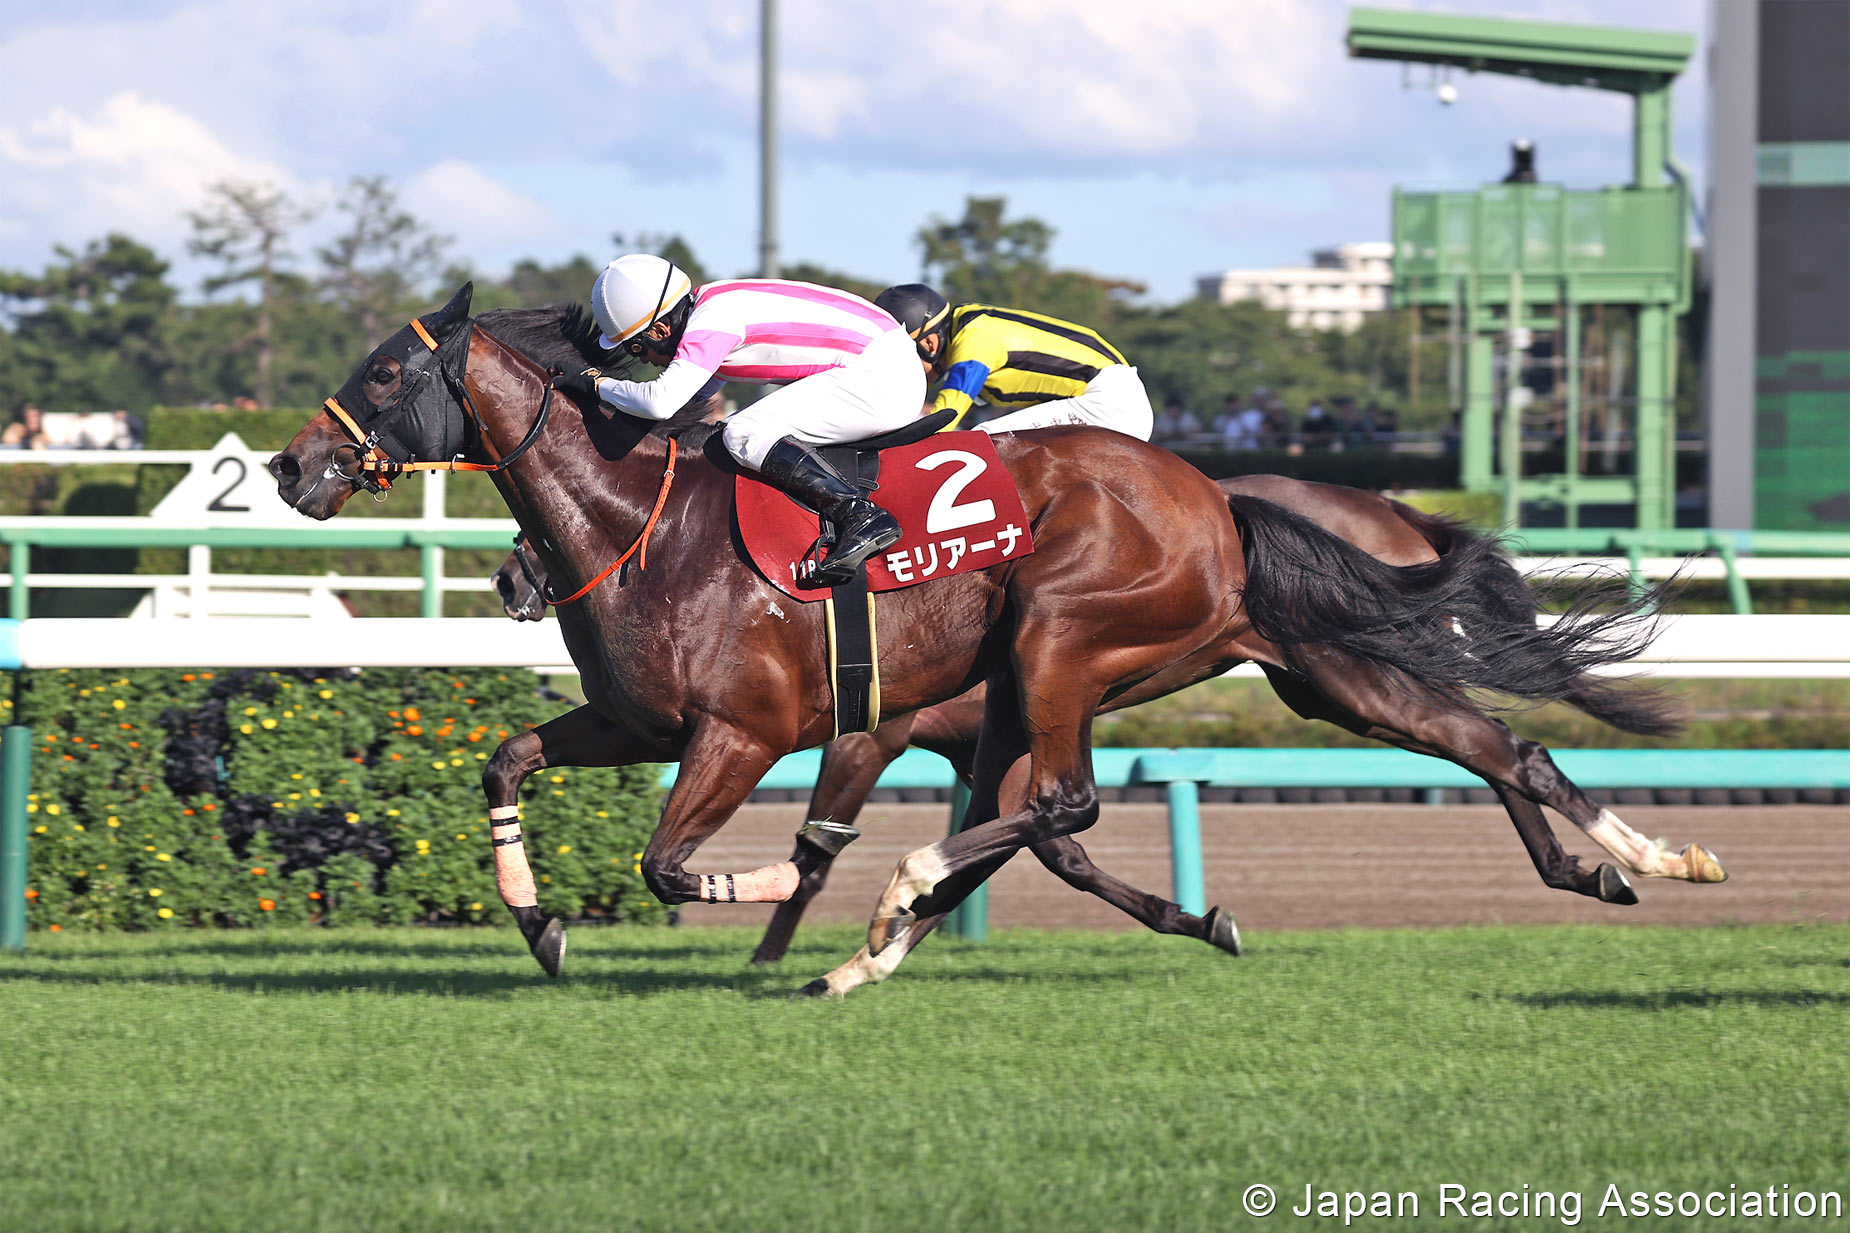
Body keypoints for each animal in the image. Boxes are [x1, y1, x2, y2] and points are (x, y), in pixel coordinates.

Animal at [270, 290, 1716, 999]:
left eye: (387, 373)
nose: (290, 466)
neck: (641, 521)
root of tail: (1219, 501)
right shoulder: (638, 721)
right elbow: (505, 763)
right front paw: (544, 929)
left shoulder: (761, 730)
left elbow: (699, 857)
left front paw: (779, 915)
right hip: (1317, 674)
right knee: (1489, 740)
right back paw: (1626, 864)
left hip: (1062, 636)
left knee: (1068, 801)